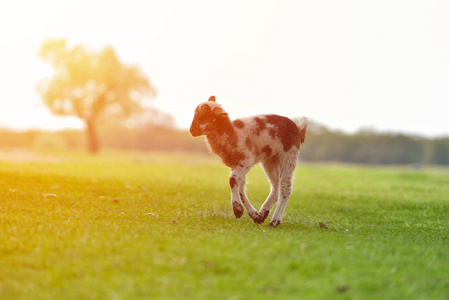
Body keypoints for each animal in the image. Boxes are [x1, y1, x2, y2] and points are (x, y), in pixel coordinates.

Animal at [187, 95, 306, 226]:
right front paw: (252, 214)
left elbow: (233, 180)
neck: (232, 133)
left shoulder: (247, 158)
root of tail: (298, 129)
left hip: (289, 155)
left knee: (285, 187)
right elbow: (240, 187)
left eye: (204, 116)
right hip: (270, 159)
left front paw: (237, 209)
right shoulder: (236, 164)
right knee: (276, 186)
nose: (191, 130)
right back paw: (263, 213)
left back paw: (275, 221)